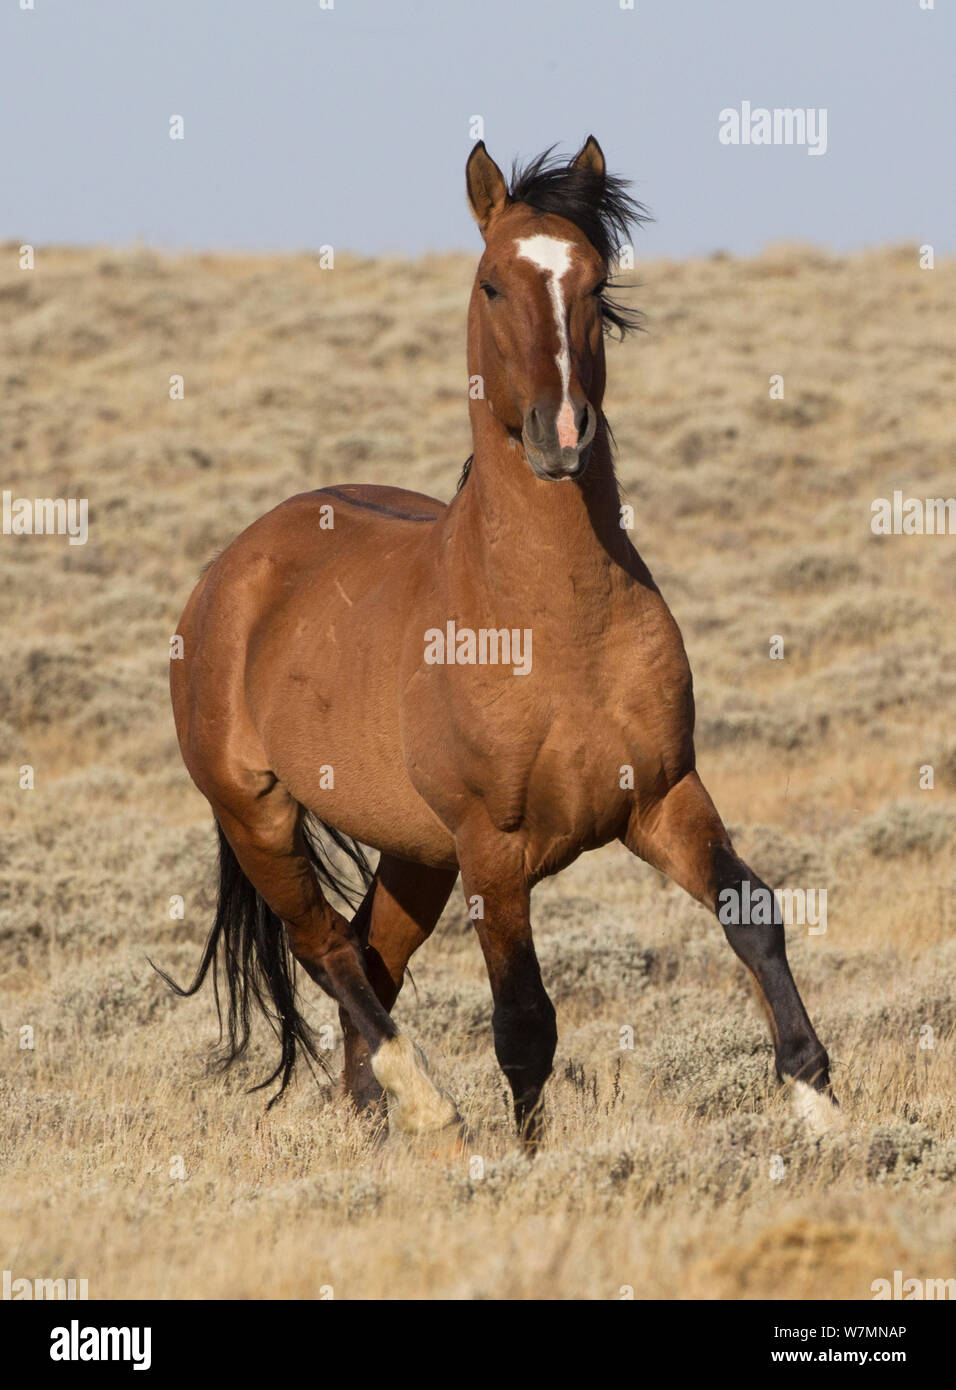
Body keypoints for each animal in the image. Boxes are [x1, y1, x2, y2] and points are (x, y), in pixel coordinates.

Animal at [166, 135, 833, 1145]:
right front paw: (527, 1159)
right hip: (262, 820)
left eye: (598, 281)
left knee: (372, 956)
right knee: (330, 951)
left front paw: (822, 1105)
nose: (561, 436)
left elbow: (753, 915)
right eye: (490, 284)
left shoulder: (663, 797)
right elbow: (524, 1019)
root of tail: (229, 571)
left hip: (414, 853)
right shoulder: (494, 848)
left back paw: (377, 1118)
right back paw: (427, 1107)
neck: (556, 624)